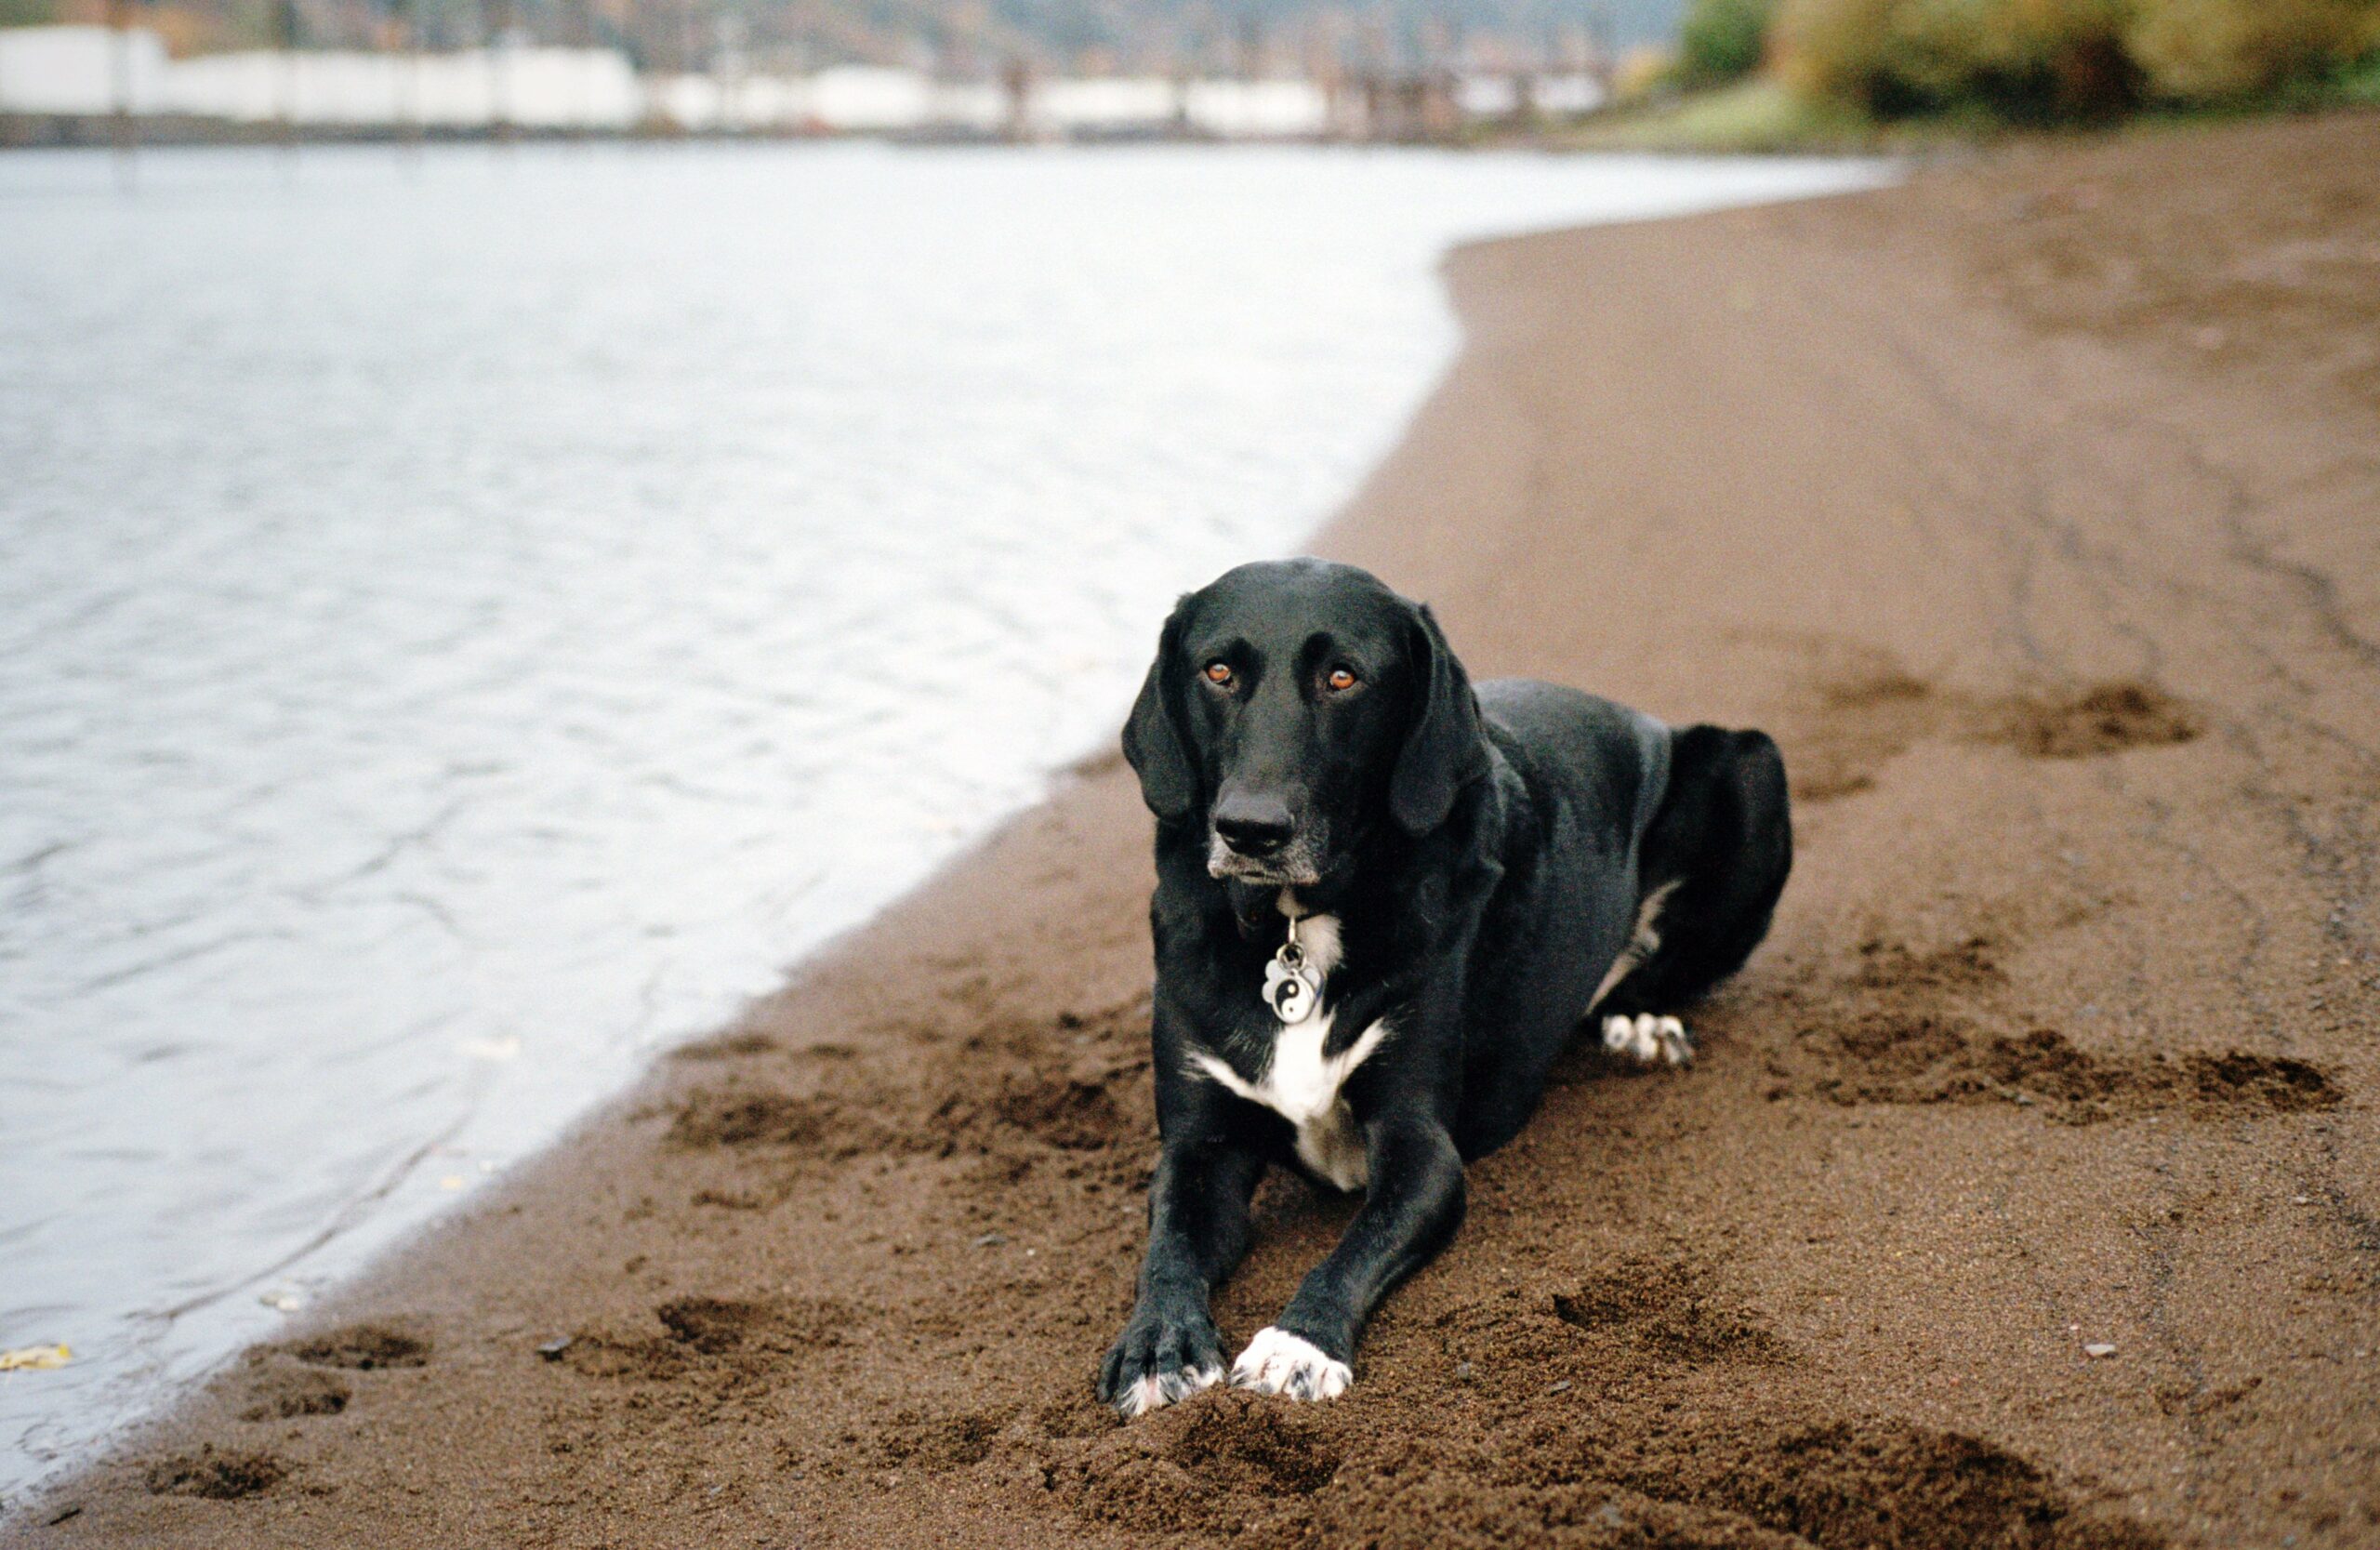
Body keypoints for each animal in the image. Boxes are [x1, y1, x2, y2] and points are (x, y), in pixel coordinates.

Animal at [1094, 562, 1790, 1419]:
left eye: (1343, 677)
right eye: (1217, 671)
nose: (1249, 830)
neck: (1295, 926)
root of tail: (1639, 716)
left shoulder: (1421, 1145)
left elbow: (1355, 1245)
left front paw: (1299, 1344)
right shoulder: (1199, 1142)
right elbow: (1169, 1245)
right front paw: (1158, 1345)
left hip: (1753, 763)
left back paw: (1641, 1017)